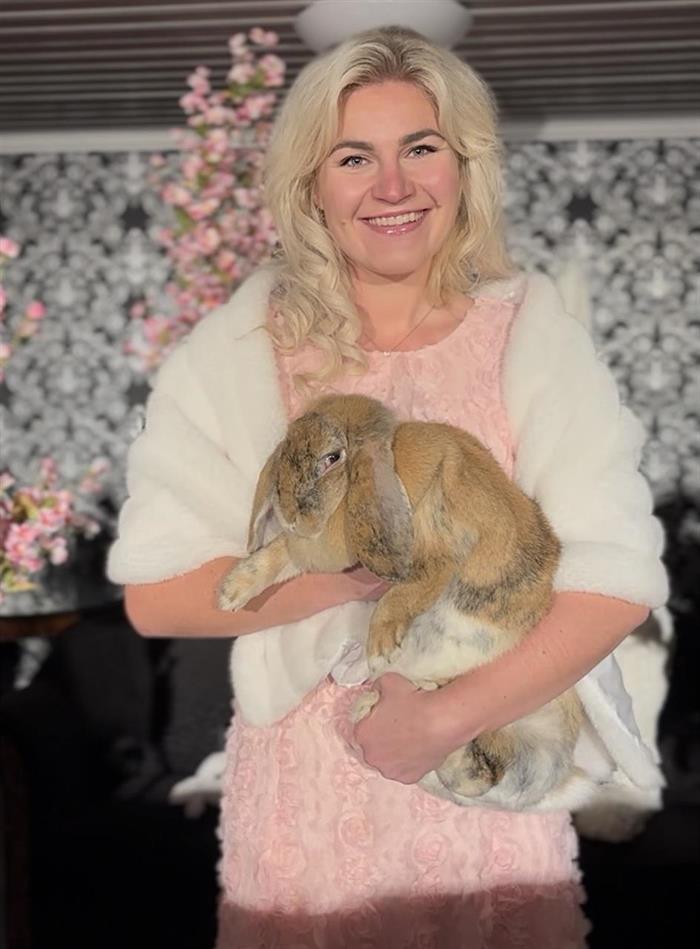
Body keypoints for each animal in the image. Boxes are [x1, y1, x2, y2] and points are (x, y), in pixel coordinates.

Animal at [217, 392, 584, 810]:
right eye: (285, 450)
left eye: (333, 457)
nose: (292, 517)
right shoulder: (300, 551)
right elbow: (275, 555)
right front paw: (230, 593)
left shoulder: (440, 553)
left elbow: (404, 591)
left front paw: (382, 645)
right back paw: (372, 699)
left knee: (479, 773)